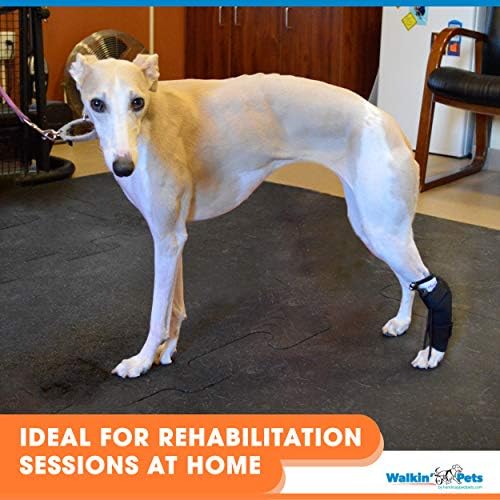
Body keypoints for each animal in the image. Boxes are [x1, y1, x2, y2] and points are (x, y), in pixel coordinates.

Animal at [70, 53, 452, 378]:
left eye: (137, 102)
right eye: (96, 104)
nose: (123, 166)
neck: (152, 118)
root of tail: (390, 123)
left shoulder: (166, 237)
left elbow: (156, 313)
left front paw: (141, 361)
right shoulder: (172, 237)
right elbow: (174, 306)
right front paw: (167, 351)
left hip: (384, 229)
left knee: (430, 282)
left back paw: (433, 354)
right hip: (373, 226)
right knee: (410, 280)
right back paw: (401, 323)